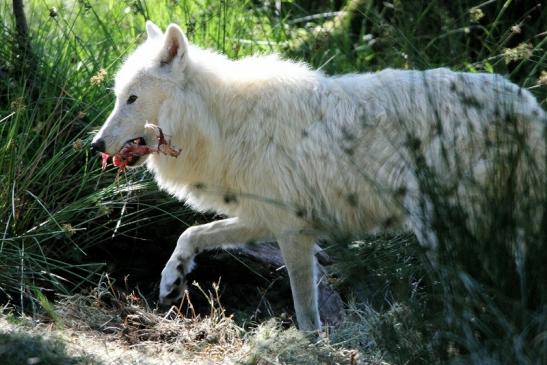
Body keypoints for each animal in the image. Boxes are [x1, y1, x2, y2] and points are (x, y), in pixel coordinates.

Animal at [92, 21, 544, 332]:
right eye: (117, 96)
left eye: (132, 98)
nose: (95, 144)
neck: (223, 122)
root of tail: (531, 108)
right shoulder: (263, 218)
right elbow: (192, 234)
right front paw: (172, 279)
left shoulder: (293, 230)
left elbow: (305, 307)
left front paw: (311, 342)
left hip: (444, 232)